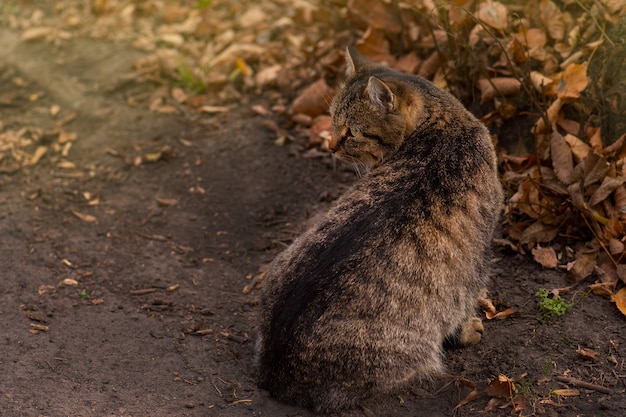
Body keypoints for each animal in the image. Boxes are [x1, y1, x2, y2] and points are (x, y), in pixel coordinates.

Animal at [254, 47, 502, 412]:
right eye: (332, 120)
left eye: (353, 132)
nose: (330, 146)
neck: (442, 125)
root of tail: (273, 370)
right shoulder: (477, 260)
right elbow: (463, 304)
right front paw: (467, 331)